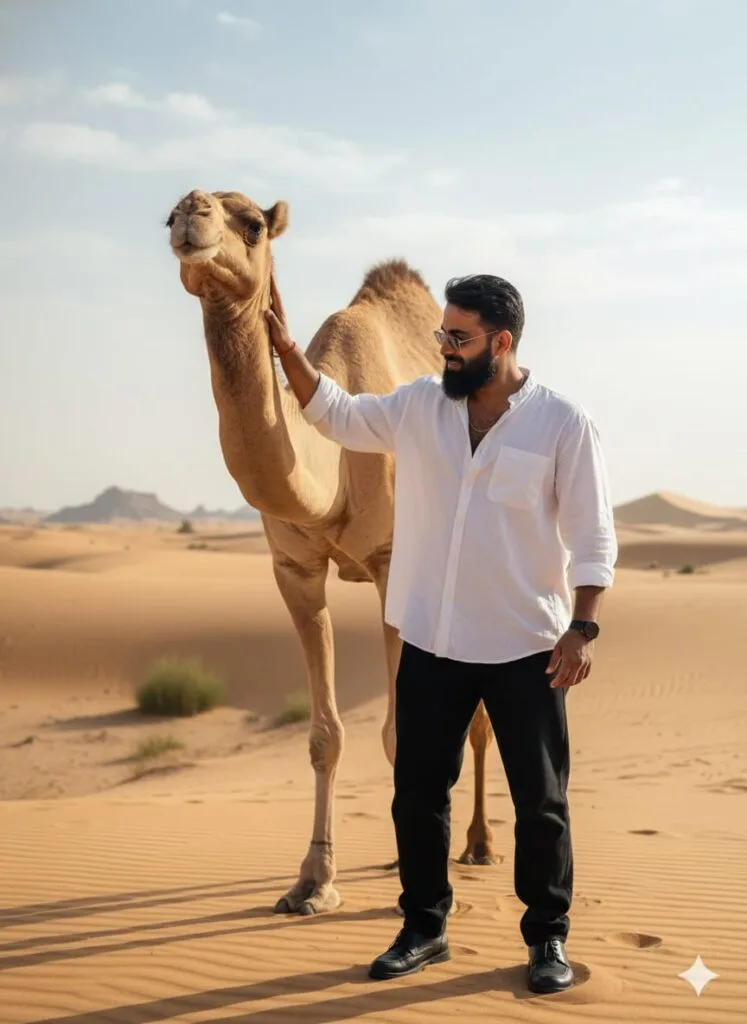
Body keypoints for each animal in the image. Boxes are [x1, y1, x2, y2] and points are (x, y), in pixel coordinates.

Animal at [166, 188, 497, 915]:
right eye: (169, 216)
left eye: (252, 225)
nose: (190, 214)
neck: (334, 467)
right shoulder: (295, 570)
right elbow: (325, 735)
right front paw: (313, 882)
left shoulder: (391, 564)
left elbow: (403, 732)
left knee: (482, 718)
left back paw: (480, 845)